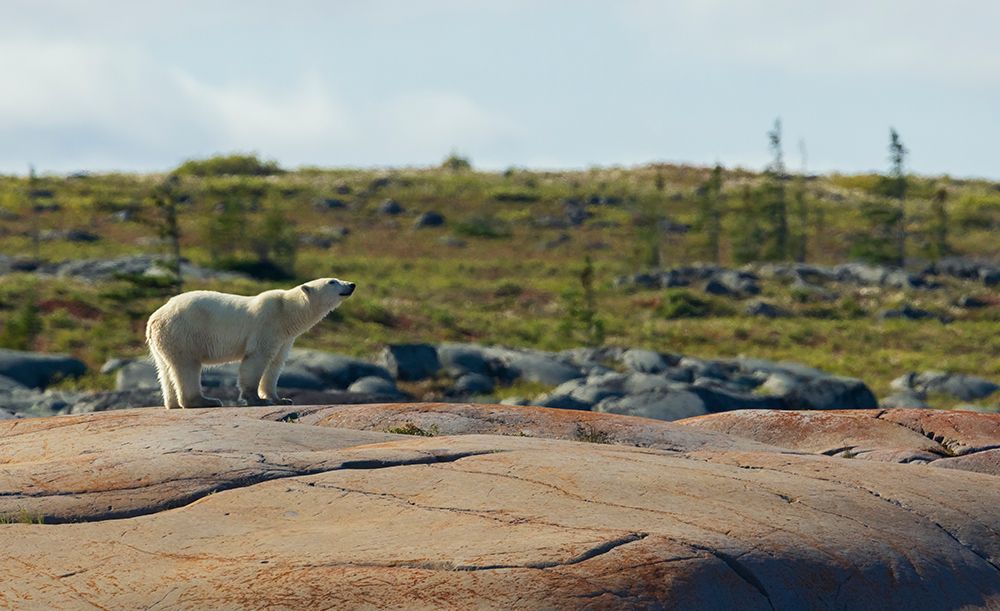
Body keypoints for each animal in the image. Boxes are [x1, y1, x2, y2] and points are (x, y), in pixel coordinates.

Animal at [145, 278, 356, 408]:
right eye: (332, 281)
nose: (352, 284)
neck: (286, 312)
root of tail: (154, 318)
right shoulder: (266, 324)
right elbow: (256, 360)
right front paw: (255, 399)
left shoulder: (284, 338)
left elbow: (275, 364)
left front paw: (281, 399)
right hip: (183, 334)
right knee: (187, 366)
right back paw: (205, 400)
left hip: (163, 341)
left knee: (165, 370)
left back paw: (172, 403)